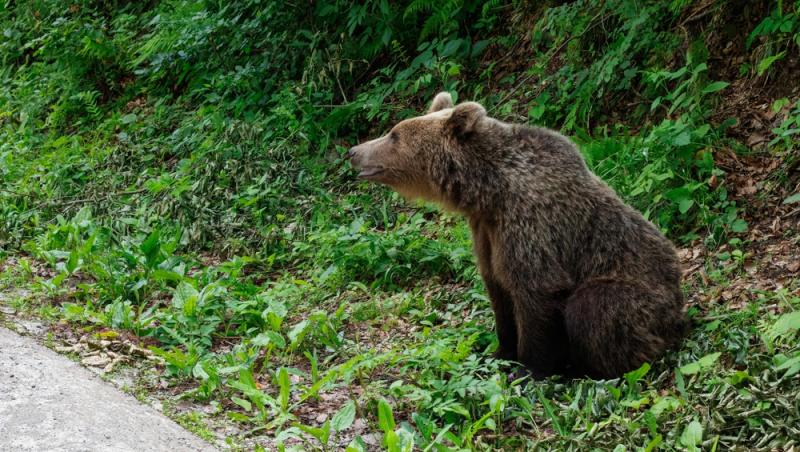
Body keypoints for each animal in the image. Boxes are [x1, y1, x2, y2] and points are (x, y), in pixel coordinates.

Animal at [348, 92, 688, 378]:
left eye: (394, 134)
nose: (353, 151)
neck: (488, 193)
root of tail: (678, 313)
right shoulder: (487, 234)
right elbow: (498, 290)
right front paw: (500, 352)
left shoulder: (530, 224)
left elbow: (536, 292)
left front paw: (528, 368)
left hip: (641, 294)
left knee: (594, 307)